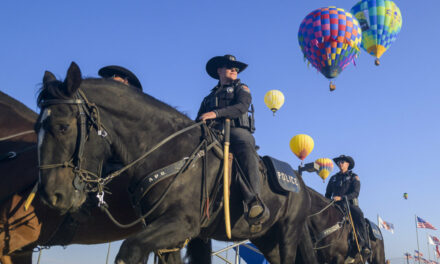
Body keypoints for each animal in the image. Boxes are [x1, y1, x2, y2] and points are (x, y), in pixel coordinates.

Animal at [34, 63, 316, 264]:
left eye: (62, 126)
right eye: (38, 127)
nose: (52, 195)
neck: (168, 151)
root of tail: (301, 185)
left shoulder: (181, 223)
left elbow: (129, 250)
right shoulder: (168, 233)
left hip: (287, 233)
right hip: (268, 240)